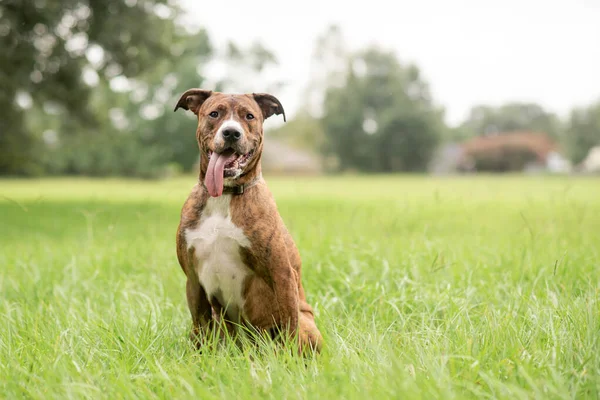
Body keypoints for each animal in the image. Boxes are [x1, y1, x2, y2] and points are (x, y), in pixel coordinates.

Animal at [173, 90, 324, 354]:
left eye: (249, 116)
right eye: (214, 113)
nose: (231, 132)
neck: (224, 194)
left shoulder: (281, 273)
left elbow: (290, 326)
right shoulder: (194, 280)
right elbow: (201, 328)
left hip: (305, 322)